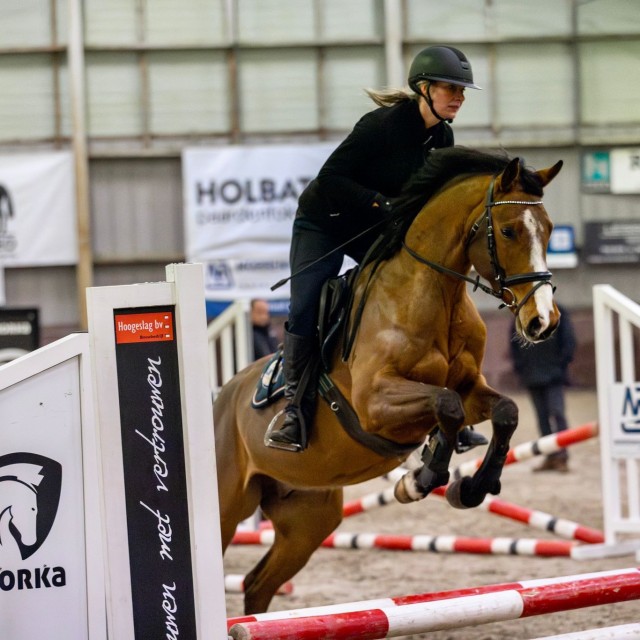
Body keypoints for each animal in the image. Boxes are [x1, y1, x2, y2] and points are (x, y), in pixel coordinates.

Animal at [214, 147, 563, 614]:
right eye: (508, 231)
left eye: (548, 230)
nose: (543, 321)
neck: (432, 295)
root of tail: (222, 397)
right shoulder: (374, 403)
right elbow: (445, 404)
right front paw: (419, 480)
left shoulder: (471, 389)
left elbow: (501, 410)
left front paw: (471, 486)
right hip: (224, 509)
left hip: (308, 518)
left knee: (257, 585)